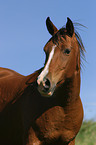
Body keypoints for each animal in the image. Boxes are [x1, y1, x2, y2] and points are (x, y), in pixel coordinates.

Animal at [0, 17, 84, 145]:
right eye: (45, 50)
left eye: (67, 51)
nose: (42, 83)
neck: (64, 107)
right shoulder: (33, 140)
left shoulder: (69, 141)